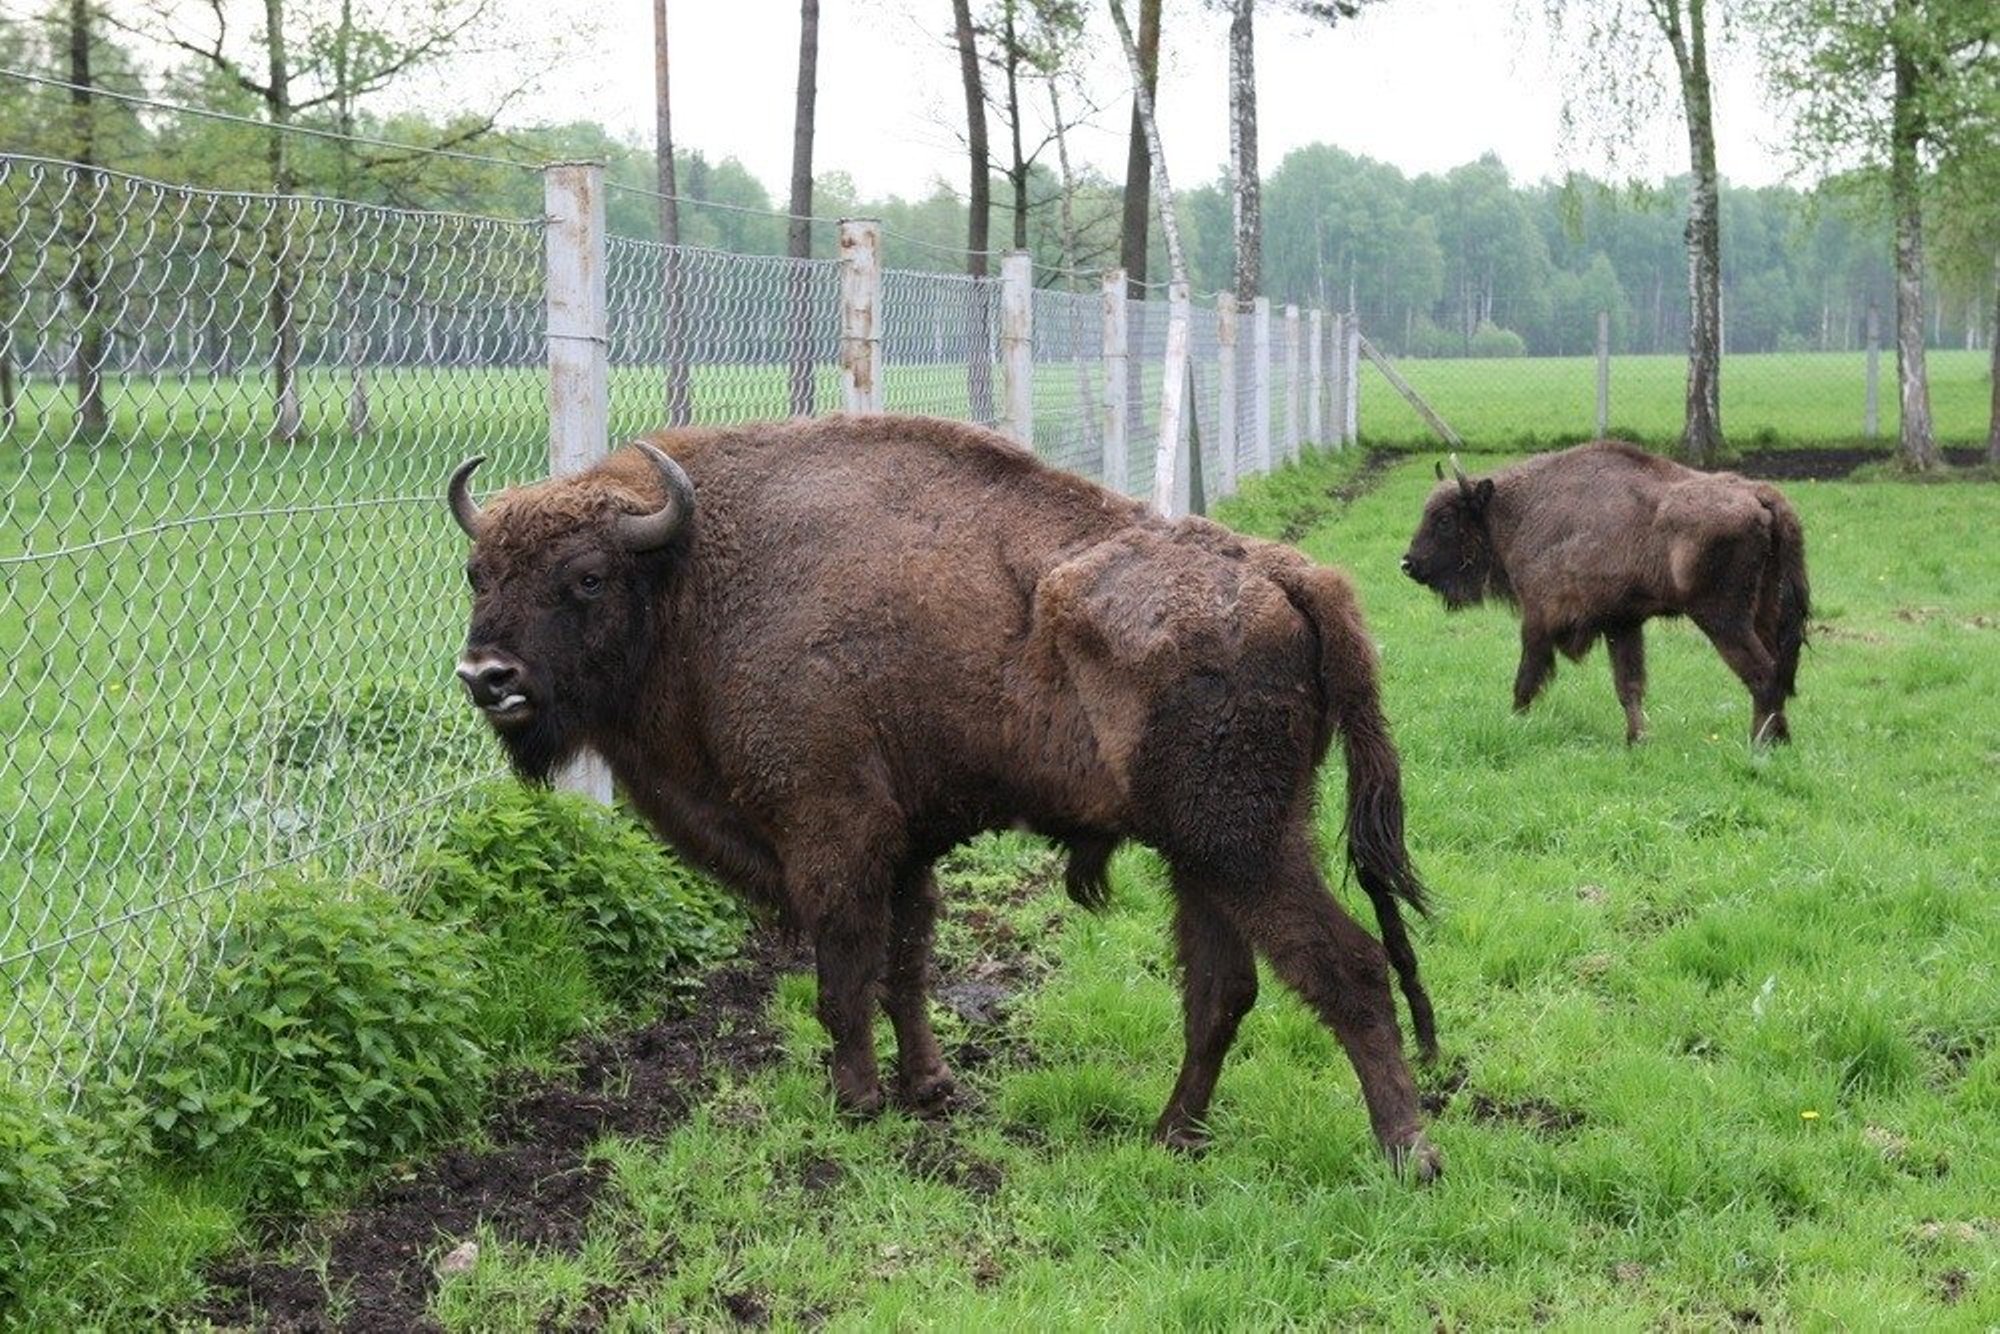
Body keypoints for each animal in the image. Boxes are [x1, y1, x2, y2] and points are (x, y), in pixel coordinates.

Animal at [446, 412, 1440, 1176]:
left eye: (586, 577)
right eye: (477, 572)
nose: (488, 677)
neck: (697, 571)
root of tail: (1289, 574)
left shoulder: (832, 837)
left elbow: (845, 976)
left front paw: (855, 1102)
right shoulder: (906, 848)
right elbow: (905, 967)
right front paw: (927, 1087)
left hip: (1243, 843)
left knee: (1346, 968)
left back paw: (1408, 1155)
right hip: (1202, 855)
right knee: (1223, 990)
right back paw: (1170, 1135)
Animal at [1400, 444, 1808, 748]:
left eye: (1445, 519)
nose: (1408, 563)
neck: (1519, 508)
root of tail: (1760, 495)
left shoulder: (1538, 617)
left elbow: (1526, 679)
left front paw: (1515, 722)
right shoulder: (1621, 624)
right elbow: (1629, 686)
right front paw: (1636, 740)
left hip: (1722, 618)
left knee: (1763, 674)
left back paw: (1760, 745)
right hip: (1763, 613)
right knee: (1777, 671)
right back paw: (1780, 740)